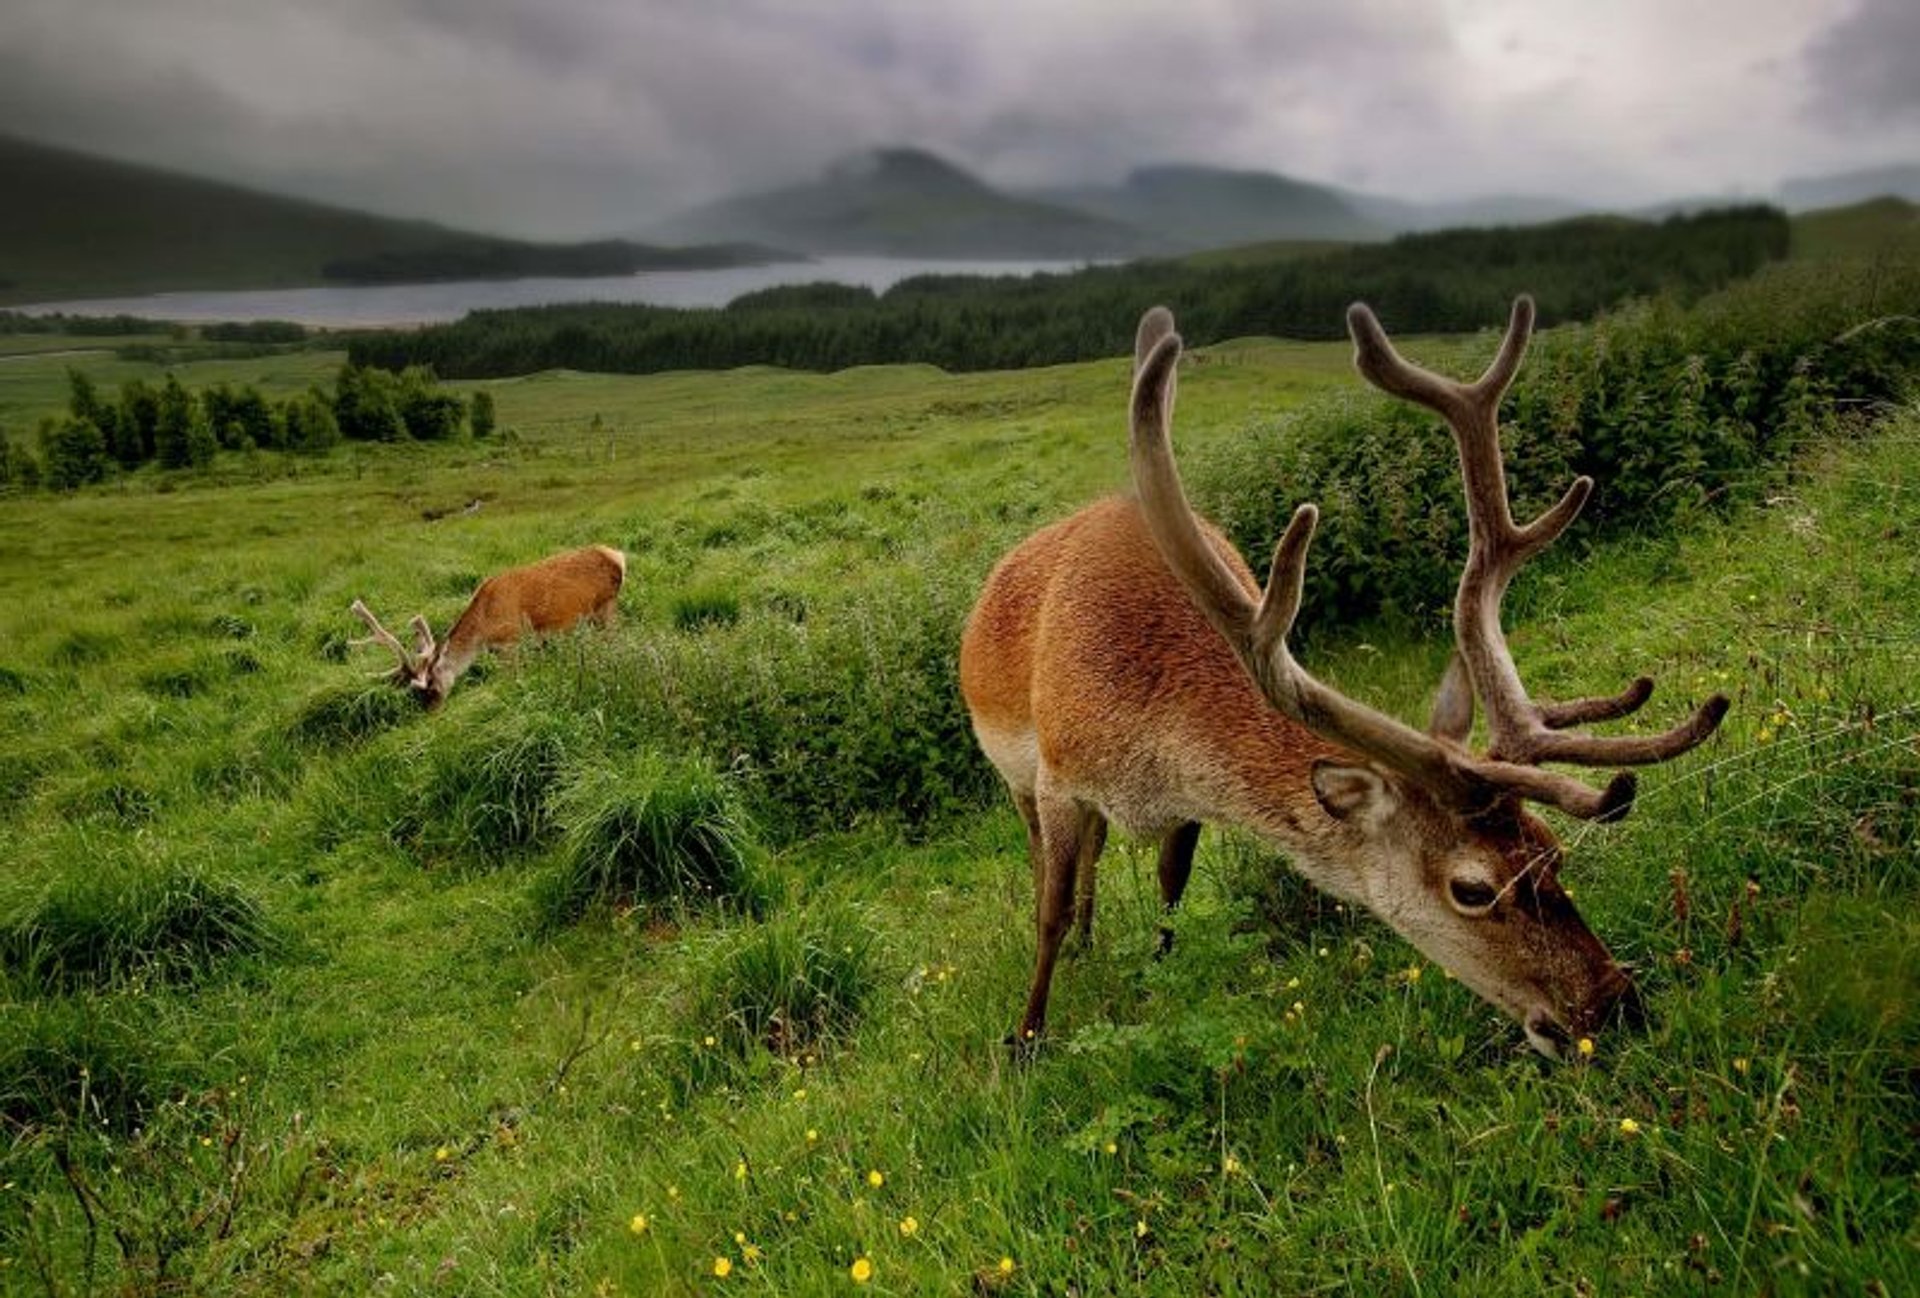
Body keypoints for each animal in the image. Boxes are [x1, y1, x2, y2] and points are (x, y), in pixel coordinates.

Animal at [349, 545, 625, 714]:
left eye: (430, 687)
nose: (431, 713)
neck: (484, 628)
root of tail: (617, 557)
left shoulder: (511, 641)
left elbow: (513, 680)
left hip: (606, 605)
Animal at [960, 301, 1728, 1052]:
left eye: (1552, 852)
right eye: (1474, 888)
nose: (1617, 1004)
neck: (1147, 735)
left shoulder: (1181, 808)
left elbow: (1171, 889)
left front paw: (1157, 968)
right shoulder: (1058, 777)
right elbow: (1050, 909)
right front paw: (1026, 1036)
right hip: (1012, 771)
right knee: (1048, 860)